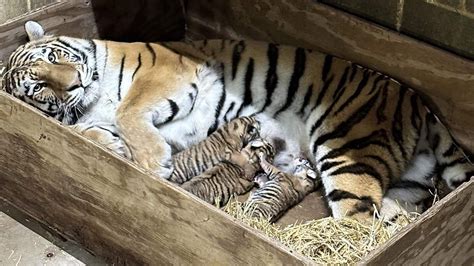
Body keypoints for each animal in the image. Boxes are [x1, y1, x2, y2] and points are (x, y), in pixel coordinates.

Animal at [1, 20, 472, 221]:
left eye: (53, 56)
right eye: (39, 87)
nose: (74, 82)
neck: (92, 96)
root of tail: (418, 102)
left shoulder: (166, 74)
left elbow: (127, 110)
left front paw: (153, 163)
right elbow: (89, 130)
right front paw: (114, 145)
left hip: (346, 152)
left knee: (355, 224)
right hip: (404, 185)